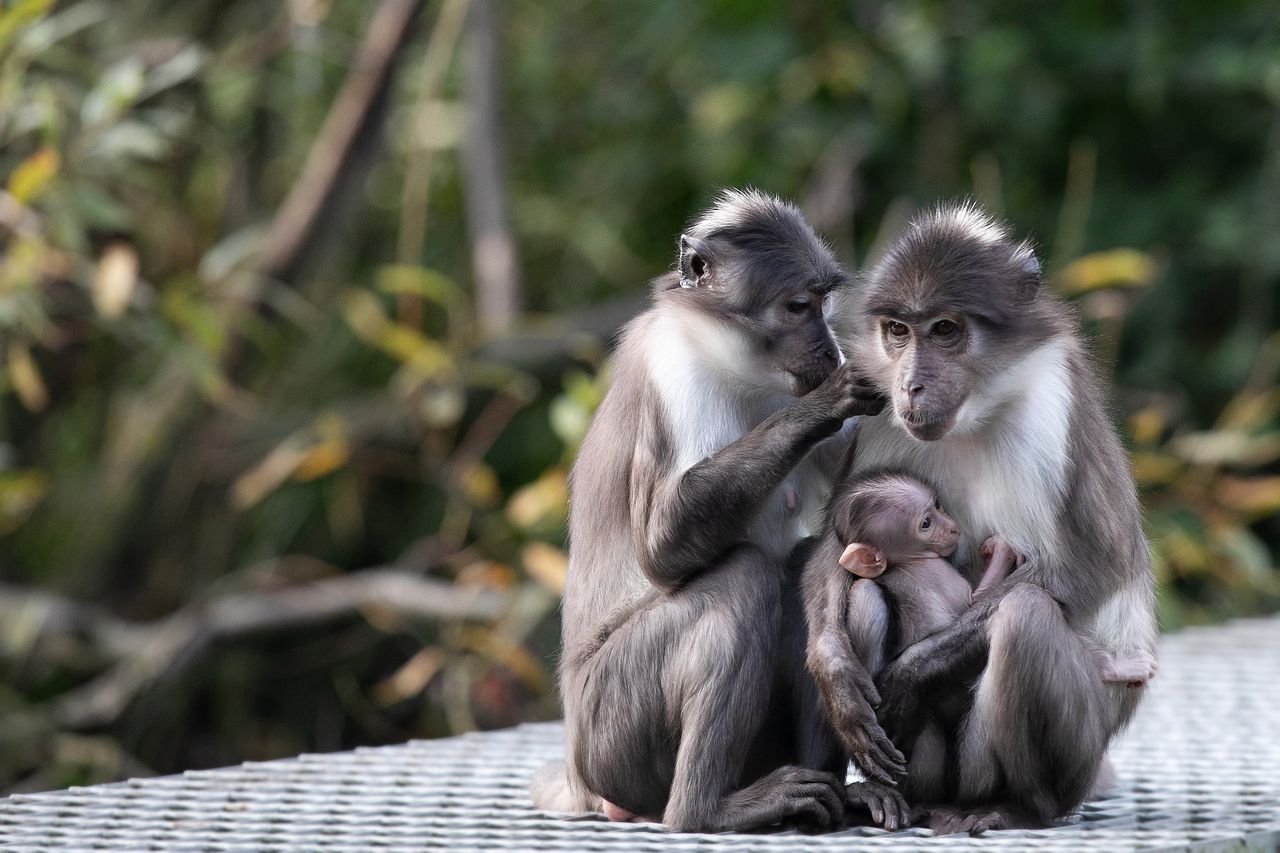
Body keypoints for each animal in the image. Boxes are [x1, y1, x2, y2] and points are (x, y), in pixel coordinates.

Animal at [524, 188, 906, 829]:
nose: (829, 347)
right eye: (799, 307)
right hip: (612, 729)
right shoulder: (674, 370)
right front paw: (833, 398)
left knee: (795, 566)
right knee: (746, 578)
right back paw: (702, 811)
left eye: (823, 304)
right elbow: (661, 547)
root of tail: (580, 775)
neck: (735, 369)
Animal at [808, 201, 1162, 829]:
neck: (975, 414)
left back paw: (1018, 807)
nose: (911, 385)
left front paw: (911, 674)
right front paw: (836, 677)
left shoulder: (1051, 402)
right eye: (898, 331)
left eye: (946, 330)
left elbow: (1090, 568)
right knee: (864, 593)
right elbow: (837, 546)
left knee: (1025, 616)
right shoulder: (878, 407)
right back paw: (888, 794)